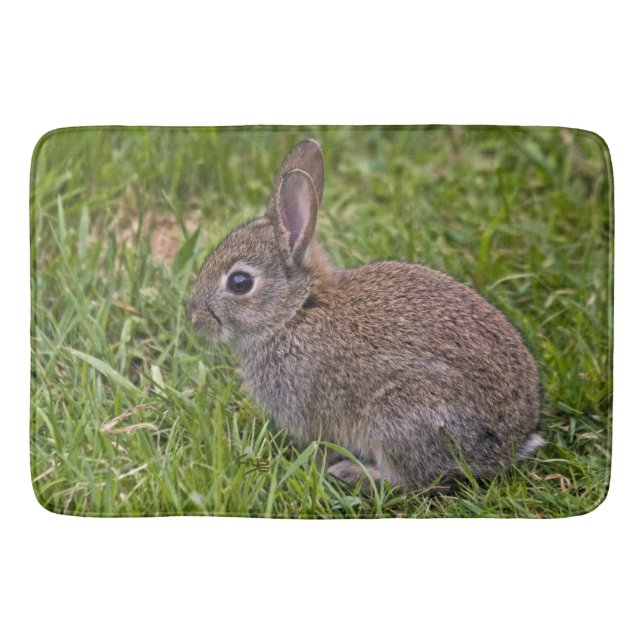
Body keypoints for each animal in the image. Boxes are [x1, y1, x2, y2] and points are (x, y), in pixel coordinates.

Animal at [186, 139, 543, 492]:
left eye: (239, 282)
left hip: (400, 414)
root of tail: (508, 445)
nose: (193, 317)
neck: (294, 313)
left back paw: (353, 473)